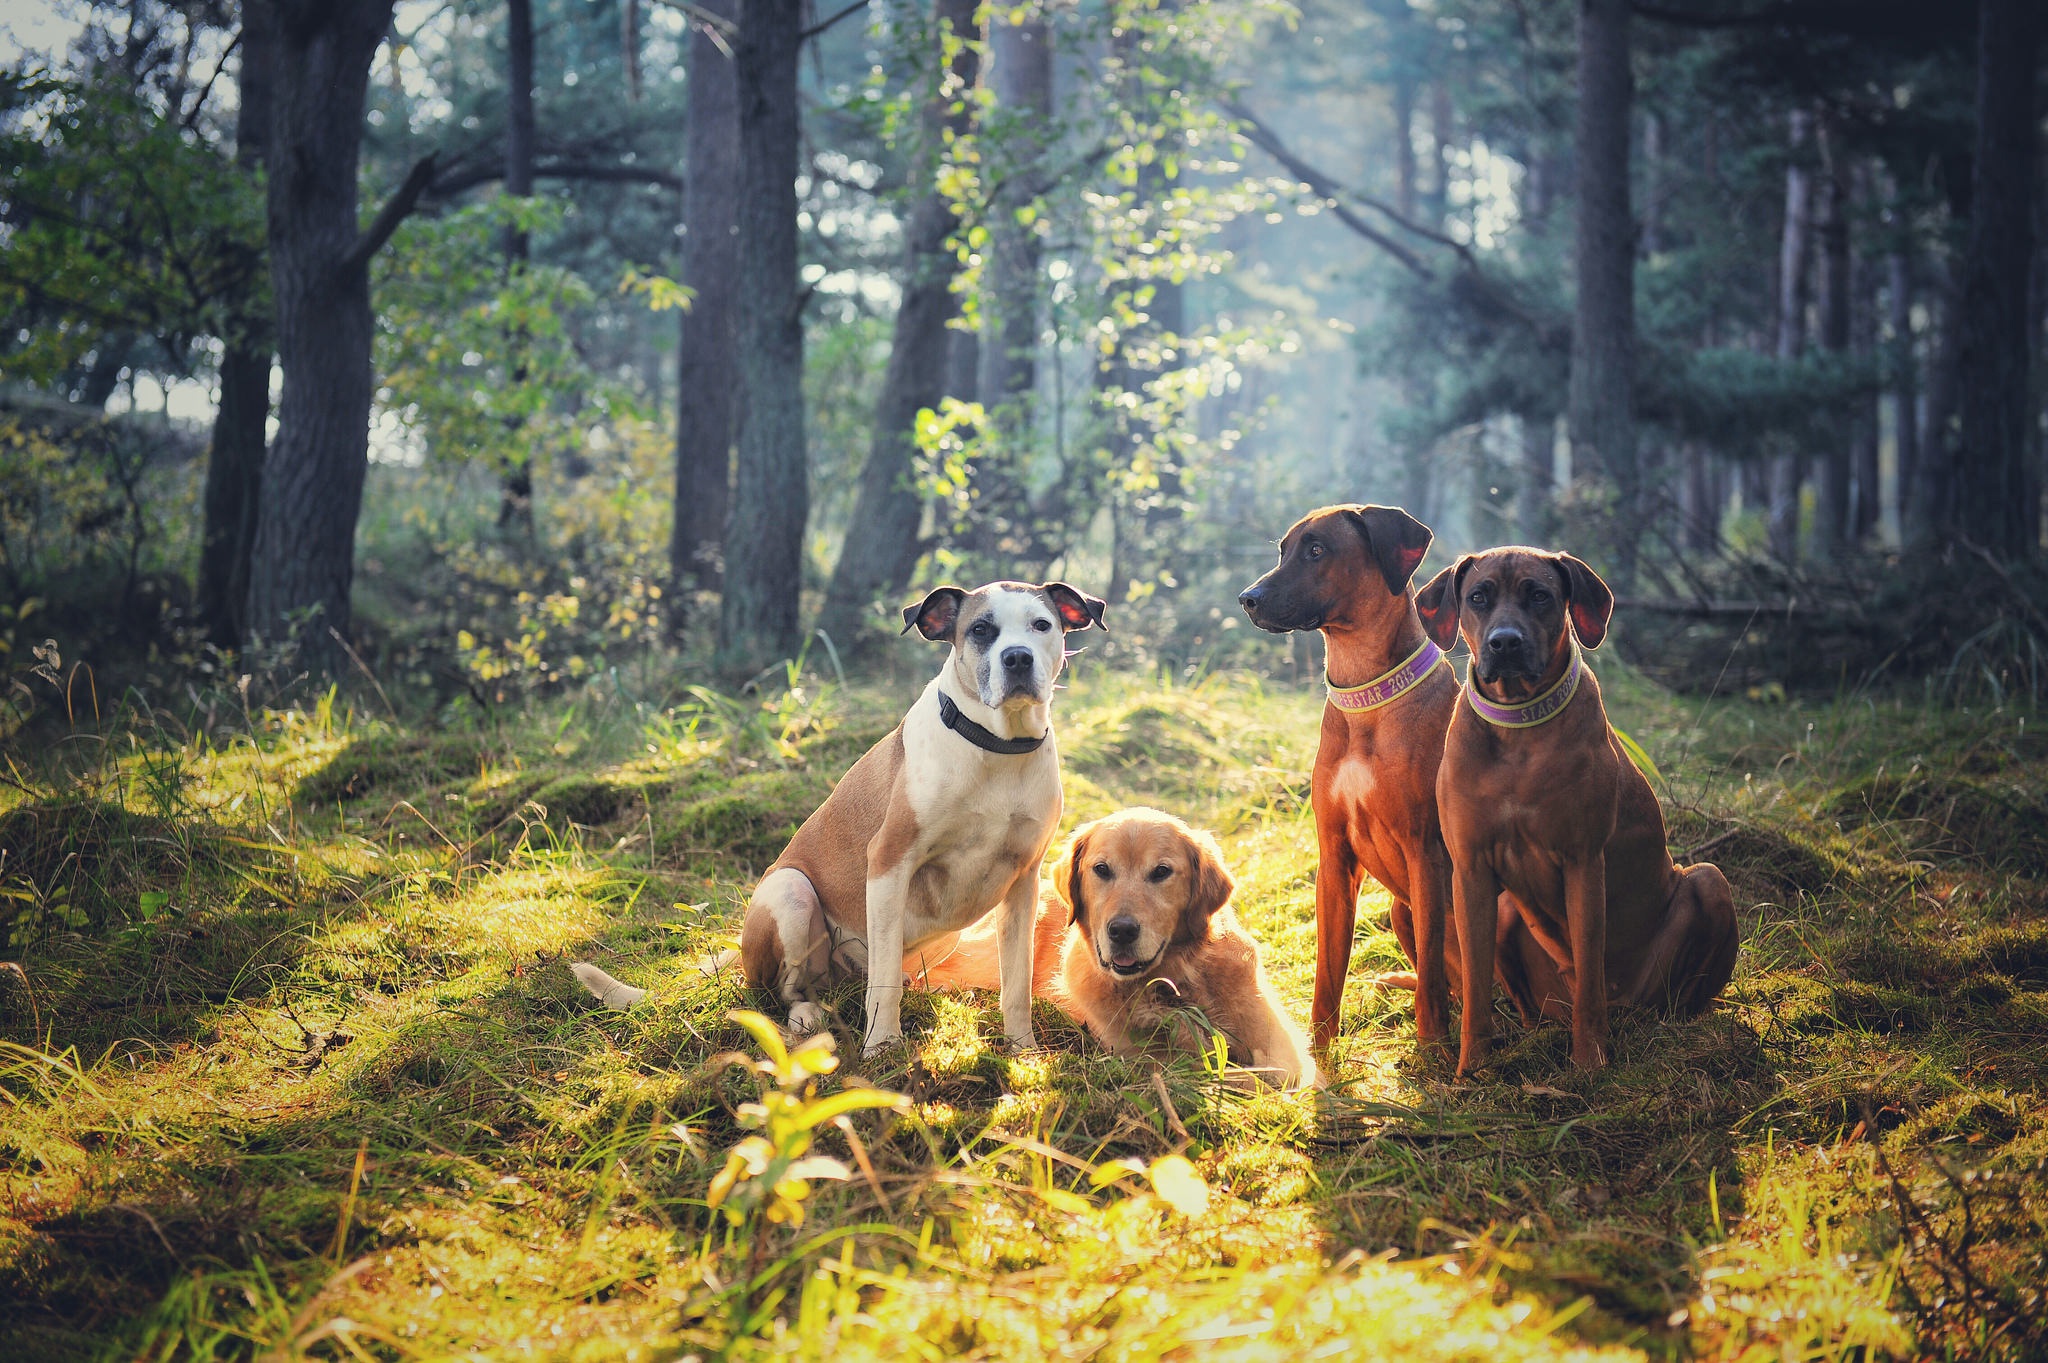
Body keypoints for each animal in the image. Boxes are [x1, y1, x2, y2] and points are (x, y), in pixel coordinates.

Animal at [577, 577, 1105, 1043]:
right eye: (980, 630)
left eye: (1041, 625)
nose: (1017, 657)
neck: (996, 746)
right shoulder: (890, 863)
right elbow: (884, 980)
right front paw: (882, 1046)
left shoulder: (1022, 882)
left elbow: (1015, 985)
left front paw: (1022, 1048)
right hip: (790, 892)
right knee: (782, 990)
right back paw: (806, 1015)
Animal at [1417, 544, 1736, 1072]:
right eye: (1478, 597)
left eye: (1539, 596)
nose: (1505, 643)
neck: (1518, 727)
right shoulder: (1471, 870)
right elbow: (1477, 983)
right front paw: (1472, 1067)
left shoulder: (1584, 862)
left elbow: (1589, 969)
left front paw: (1589, 1062)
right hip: (1510, 919)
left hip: (1706, 885)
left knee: (1676, 991)